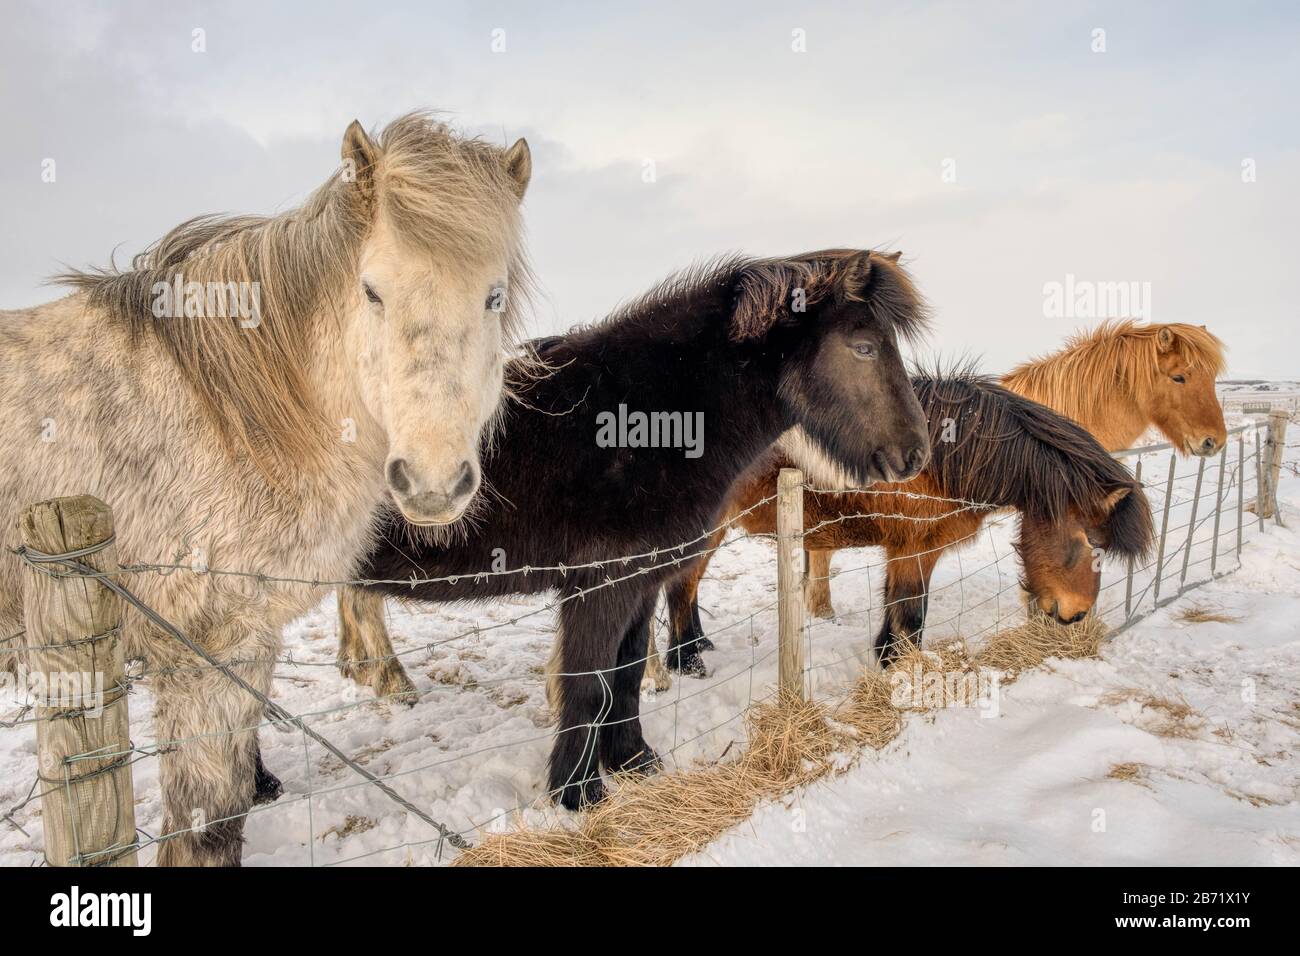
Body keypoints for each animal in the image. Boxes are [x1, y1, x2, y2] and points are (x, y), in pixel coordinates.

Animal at [0, 113, 533, 868]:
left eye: (492, 295)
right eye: (372, 291)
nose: (433, 482)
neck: (226, 414)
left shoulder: (249, 646)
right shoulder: (205, 655)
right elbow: (205, 827)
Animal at [261, 251, 935, 811]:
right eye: (864, 347)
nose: (915, 454)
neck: (647, 420)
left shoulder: (640, 581)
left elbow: (627, 675)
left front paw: (633, 762)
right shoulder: (599, 587)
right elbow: (588, 685)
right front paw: (579, 793)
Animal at [665, 369, 1154, 676]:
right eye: (1090, 542)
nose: (1077, 616)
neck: (946, 458)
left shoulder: (910, 549)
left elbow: (899, 610)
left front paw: (891, 658)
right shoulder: (915, 547)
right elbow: (911, 612)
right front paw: (897, 666)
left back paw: (698, 646)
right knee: (681, 588)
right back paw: (687, 662)